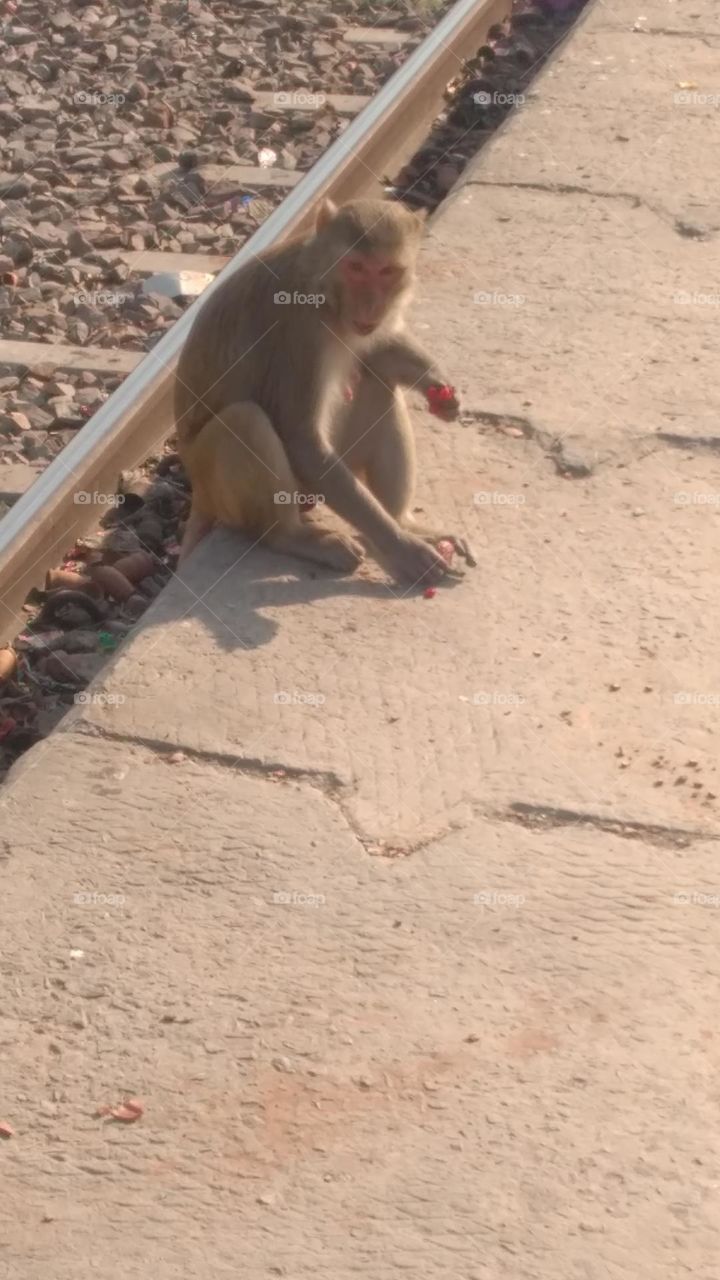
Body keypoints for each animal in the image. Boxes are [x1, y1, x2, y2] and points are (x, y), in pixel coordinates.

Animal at [174, 196, 474, 586]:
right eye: (356, 267)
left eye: (387, 271)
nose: (371, 305)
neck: (325, 292)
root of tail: (197, 491)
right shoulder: (298, 328)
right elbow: (302, 440)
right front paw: (402, 548)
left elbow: (377, 347)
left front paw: (438, 384)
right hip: (219, 480)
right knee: (245, 420)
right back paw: (292, 537)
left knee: (377, 379)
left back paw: (404, 520)